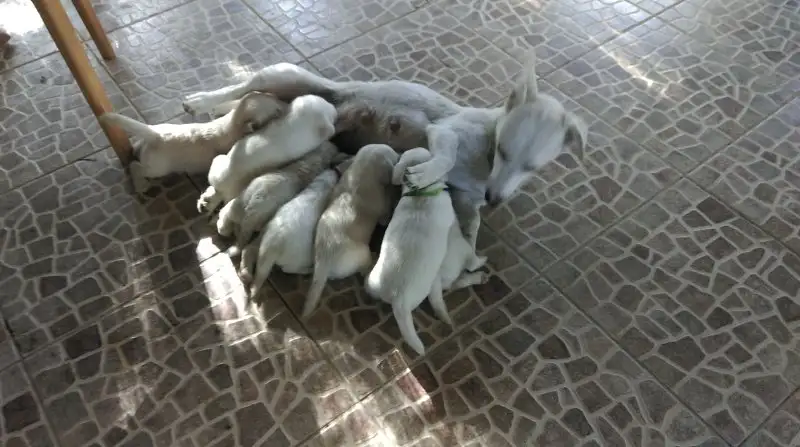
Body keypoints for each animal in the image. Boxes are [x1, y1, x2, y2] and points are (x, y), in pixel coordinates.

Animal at [100, 92, 284, 193]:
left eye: (272, 95)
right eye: (275, 111)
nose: (285, 101)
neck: (233, 121)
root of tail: (154, 133)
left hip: (148, 144)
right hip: (157, 168)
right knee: (135, 167)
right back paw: (141, 185)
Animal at [240, 163, 346, 297]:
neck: (323, 183)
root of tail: (272, 247)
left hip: (262, 238)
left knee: (249, 249)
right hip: (301, 257)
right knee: (289, 269)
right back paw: (308, 270)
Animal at [303, 144, 400, 317]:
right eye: (394, 155)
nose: (400, 154)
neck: (360, 171)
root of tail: (323, 263)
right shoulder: (382, 210)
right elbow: (385, 213)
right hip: (362, 252)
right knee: (363, 268)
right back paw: (372, 259)